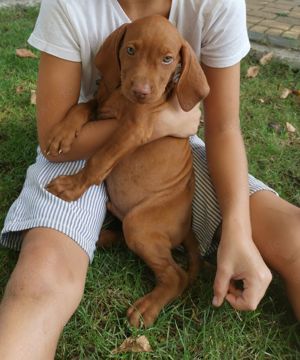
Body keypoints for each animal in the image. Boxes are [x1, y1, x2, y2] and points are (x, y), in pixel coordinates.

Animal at [47, 15, 211, 328]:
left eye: (168, 59)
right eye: (131, 50)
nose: (141, 92)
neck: (120, 97)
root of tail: (187, 226)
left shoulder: (135, 128)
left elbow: (100, 158)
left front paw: (72, 187)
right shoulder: (102, 101)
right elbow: (81, 106)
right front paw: (62, 133)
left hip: (140, 225)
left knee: (176, 275)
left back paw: (147, 308)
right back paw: (103, 237)